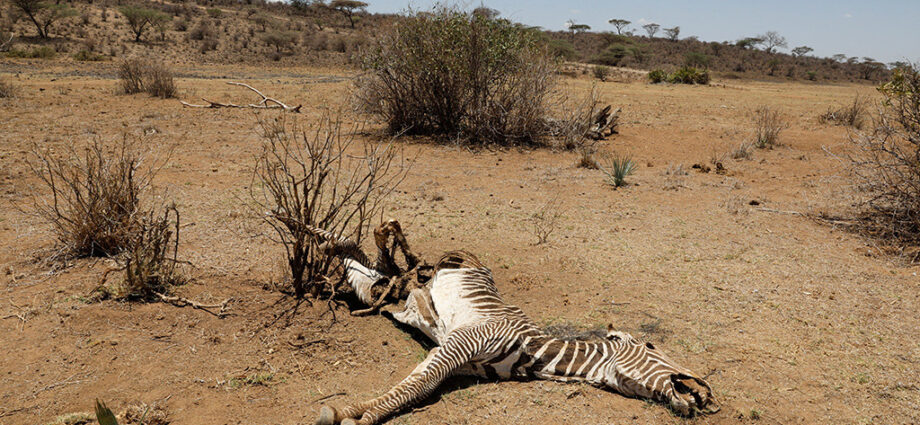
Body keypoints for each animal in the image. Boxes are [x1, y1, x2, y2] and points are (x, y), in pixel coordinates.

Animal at [310, 220, 720, 422]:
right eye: (651, 346)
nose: (707, 395)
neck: (534, 351)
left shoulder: (460, 362)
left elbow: (420, 386)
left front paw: (356, 415)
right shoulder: (458, 344)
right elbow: (415, 386)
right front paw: (350, 415)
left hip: (389, 291)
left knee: (375, 267)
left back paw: (321, 238)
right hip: (435, 268)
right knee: (387, 249)